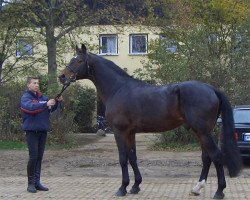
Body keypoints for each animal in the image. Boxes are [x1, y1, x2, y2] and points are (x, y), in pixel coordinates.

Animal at [59, 43, 242, 198]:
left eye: (79, 60)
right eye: (72, 59)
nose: (62, 77)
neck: (118, 89)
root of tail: (211, 89)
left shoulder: (119, 132)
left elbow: (123, 158)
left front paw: (122, 188)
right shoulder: (130, 133)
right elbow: (133, 157)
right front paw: (135, 186)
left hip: (203, 131)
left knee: (216, 155)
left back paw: (219, 191)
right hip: (202, 131)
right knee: (206, 157)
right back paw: (197, 188)